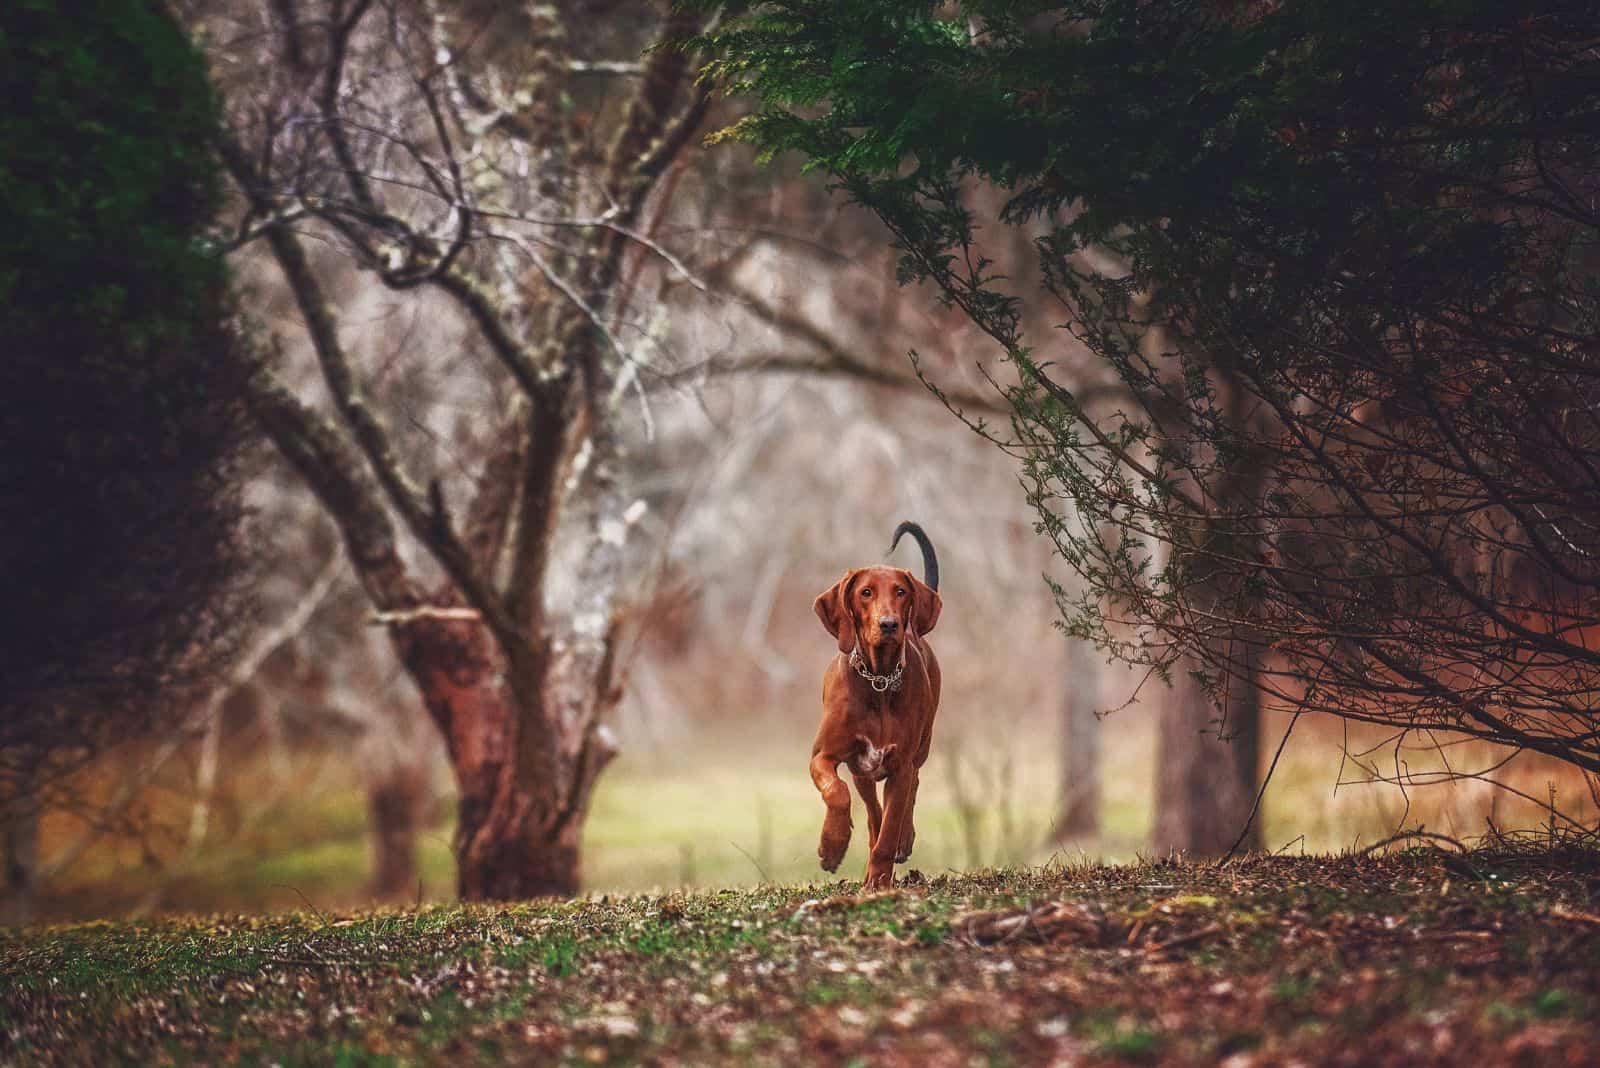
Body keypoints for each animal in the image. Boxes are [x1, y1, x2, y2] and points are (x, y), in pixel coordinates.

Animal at [806, 521, 940, 888]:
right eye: (865, 592)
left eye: (901, 592)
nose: (889, 624)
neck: (878, 681)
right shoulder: (823, 755)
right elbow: (837, 793)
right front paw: (832, 845)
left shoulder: (900, 765)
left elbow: (891, 826)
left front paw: (879, 881)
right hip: (861, 771)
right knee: (871, 812)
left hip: (922, 745)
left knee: (911, 790)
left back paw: (902, 842)